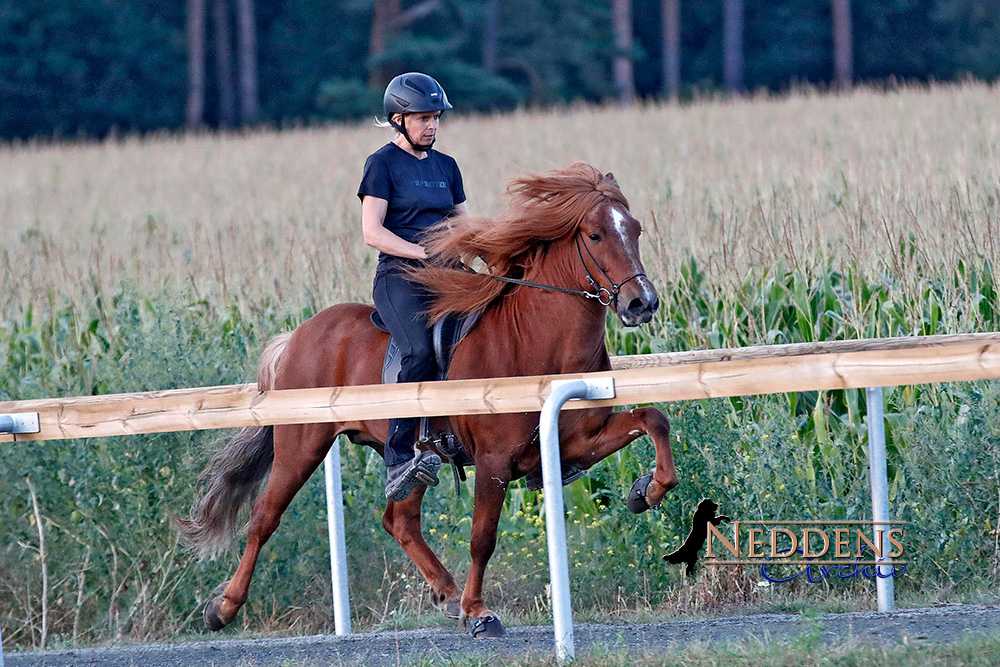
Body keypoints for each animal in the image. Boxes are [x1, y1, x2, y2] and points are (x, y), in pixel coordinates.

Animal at [178, 162, 680, 636]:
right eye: (595, 234)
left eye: (635, 229)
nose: (642, 303)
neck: (539, 341)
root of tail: (298, 335)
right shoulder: (494, 461)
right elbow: (483, 537)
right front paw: (479, 614)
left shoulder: (578, 441)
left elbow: (653, 418)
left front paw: (647, 490)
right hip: (301, 444)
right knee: (265, 515)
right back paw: (223, 607)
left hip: (412, 456)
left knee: (399, 520)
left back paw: (447, 590)